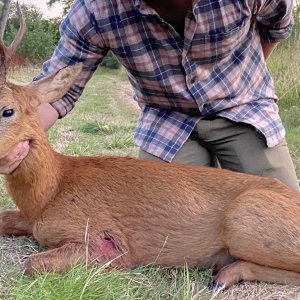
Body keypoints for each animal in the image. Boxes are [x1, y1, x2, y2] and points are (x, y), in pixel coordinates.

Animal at [0, 4, 300, 288]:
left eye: (7, 111)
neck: (49, 192)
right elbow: (4, 218)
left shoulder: (105, 241)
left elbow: (31, 263)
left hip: (242, 216)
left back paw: (227, 274)